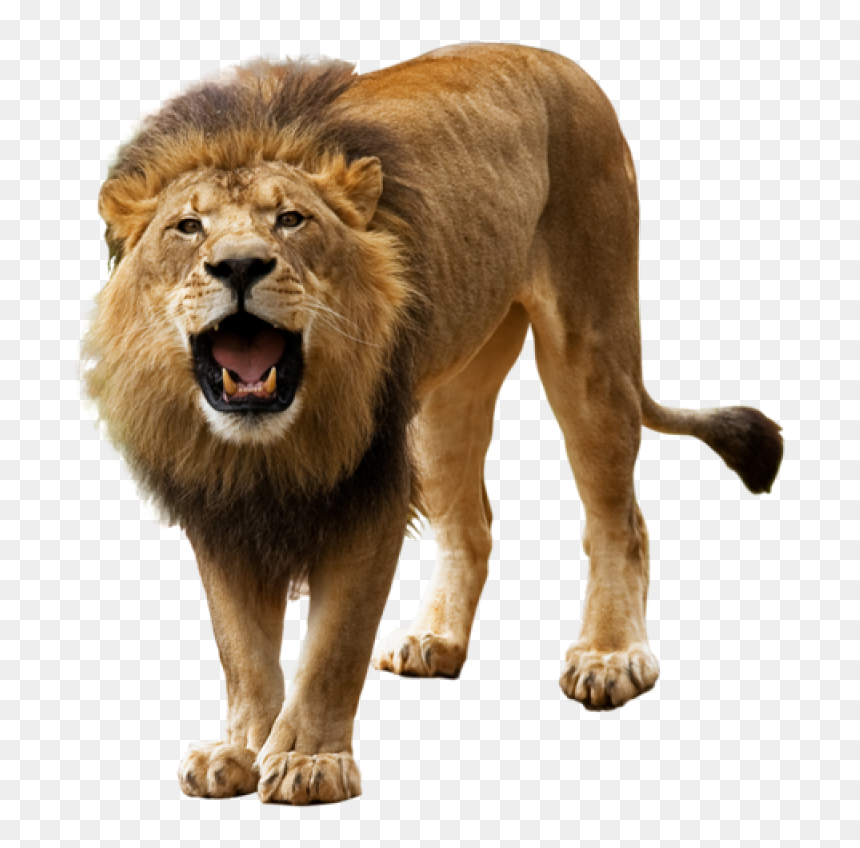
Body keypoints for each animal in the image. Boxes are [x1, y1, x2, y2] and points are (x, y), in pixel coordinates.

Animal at [83, 43, 783, 804]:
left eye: (292, 220)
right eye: (188, 227)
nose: (239, 264)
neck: (266, 444)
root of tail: (556, 60)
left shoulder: (369, 491)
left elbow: (334, 644)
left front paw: (308, 760)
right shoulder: (217, 501)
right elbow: (240, 646)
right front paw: (239, 748)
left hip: (591, 344)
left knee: (620, 520)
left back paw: (610, 655)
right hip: (444, 399)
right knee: (471, 526)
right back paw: (436, 640)